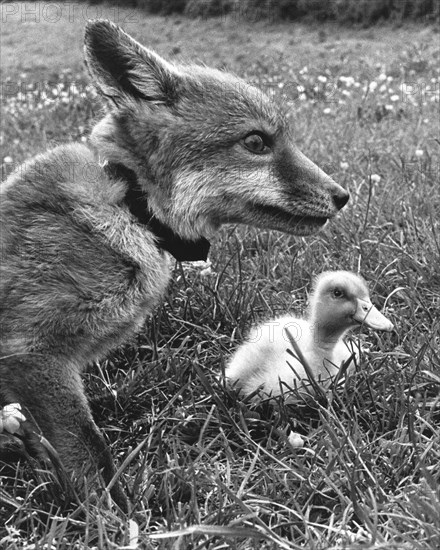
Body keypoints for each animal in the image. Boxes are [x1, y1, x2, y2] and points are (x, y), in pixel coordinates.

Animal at [0, 20, 350, 512]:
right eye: (256, 142)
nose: (343, 196)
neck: (132, 207)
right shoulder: (31, 351)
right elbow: (89, 452)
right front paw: (112, 517)